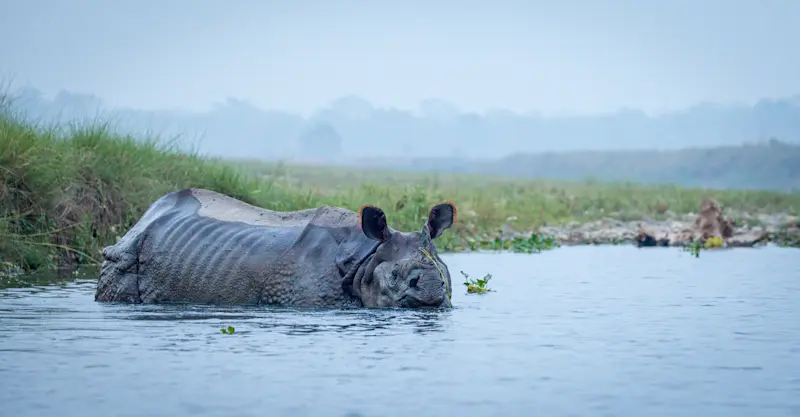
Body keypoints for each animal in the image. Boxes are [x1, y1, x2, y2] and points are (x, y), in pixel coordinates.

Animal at [95, 188, 456, 308]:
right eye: (396, 276)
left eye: (444, 274)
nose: (430, 289)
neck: (366, 259)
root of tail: (141, 219)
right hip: (125, 256)